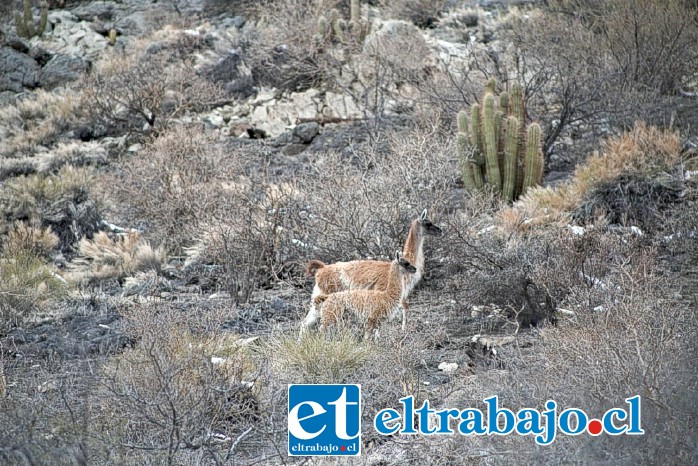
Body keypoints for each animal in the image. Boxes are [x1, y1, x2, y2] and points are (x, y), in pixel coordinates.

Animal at [300, 208, 440, 334]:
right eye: (428, 223)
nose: (440, 230)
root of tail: (322, 269)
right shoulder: (381, 293)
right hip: (329, 293)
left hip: (320, 296)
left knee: (306, 322)